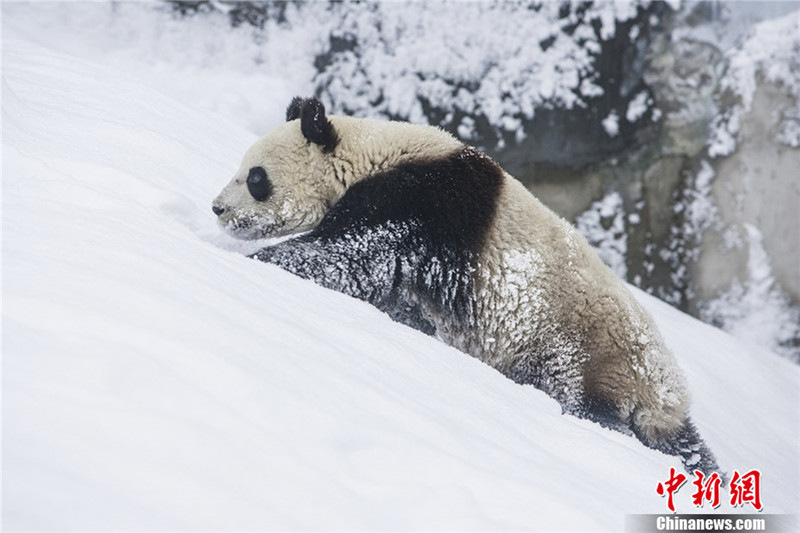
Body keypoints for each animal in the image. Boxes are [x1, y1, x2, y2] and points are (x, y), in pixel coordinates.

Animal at [211, 94, 720, 470]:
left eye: (255, 178)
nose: (218, 209)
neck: (369, 153)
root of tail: (665, 396)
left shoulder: (418, 203)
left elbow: (349, 258)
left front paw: (262, 261)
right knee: (685, 443)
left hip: (589, 351)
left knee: (587, 401)